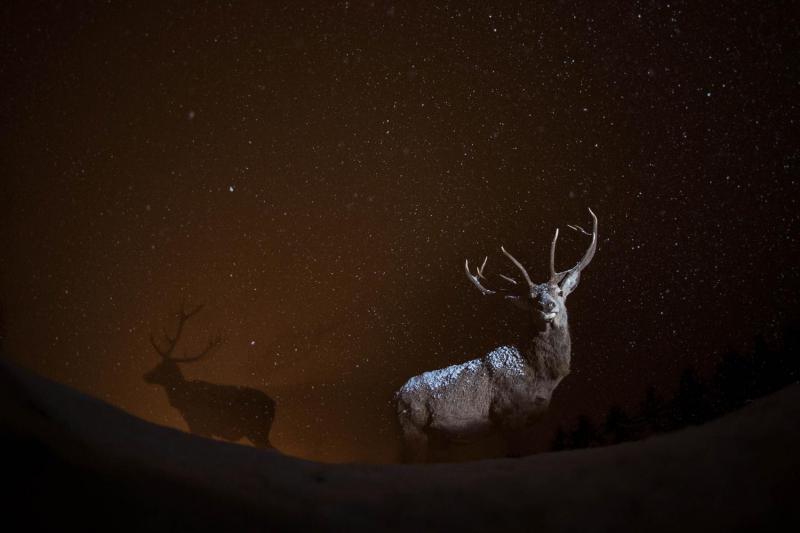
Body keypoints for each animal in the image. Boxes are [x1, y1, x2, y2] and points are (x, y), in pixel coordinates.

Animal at [144, 304, 276, 448]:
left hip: (256, 431)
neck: (182, 401)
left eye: (160, 366)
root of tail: (274, 405)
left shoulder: (198, 424)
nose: (146, 375)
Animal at [395, 209, 598, 462]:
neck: (542, 377)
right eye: (532, 299)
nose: (547, 305)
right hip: (412, 429)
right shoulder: (508, 411)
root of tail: (396, 396)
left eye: (560, 292)